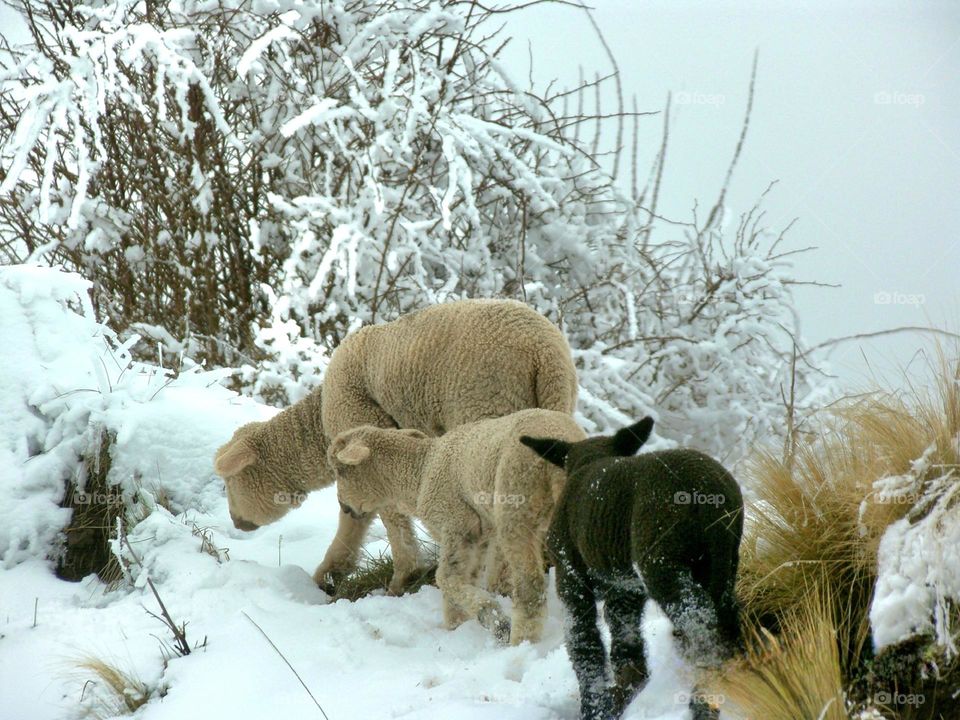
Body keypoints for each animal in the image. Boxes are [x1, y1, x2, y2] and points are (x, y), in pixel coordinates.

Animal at [214, 296, 572, 592]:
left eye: (228, 482)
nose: (235, 521)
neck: (319, 421)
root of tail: (544, 352)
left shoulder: (363, 434)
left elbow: (381, 510)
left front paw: (403, 576)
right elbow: (354, 517)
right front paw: (331, 573)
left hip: (488, 405)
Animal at [330, 408, 584, 644]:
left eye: (340, 471)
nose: (343, 506)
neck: (420, 473)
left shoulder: (456, 523)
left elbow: (446, 578)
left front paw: (493, 619)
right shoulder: (478, 537)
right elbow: (465, 577)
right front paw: (457, 626)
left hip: (517, 506)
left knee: (530, 589)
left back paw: (521, 642)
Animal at [520, 416, 748, 720]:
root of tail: (708, 490)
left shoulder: (570, 580)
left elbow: (585, 646)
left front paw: (595, 708)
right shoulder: (625, 591)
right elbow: (628, 652)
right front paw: (615, 702)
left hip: (663, 566)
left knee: (702, 626)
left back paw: (703, 703)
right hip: (722, 565)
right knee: (728, 623)